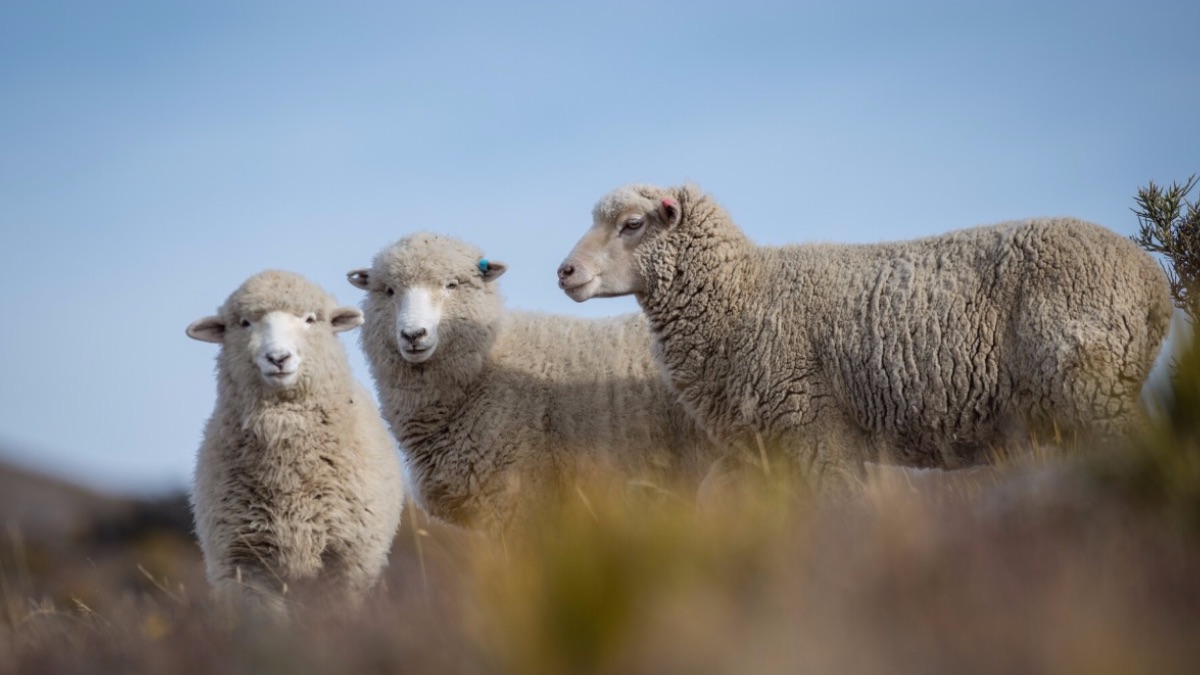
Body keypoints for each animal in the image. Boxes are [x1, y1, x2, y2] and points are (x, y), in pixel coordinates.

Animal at [559, 183, 1171, 494]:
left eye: (632, 225)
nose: (564, 272)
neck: (744, 294)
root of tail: (1153, 282)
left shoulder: (815, 431)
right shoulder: (767, 452)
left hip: (1092, 388)